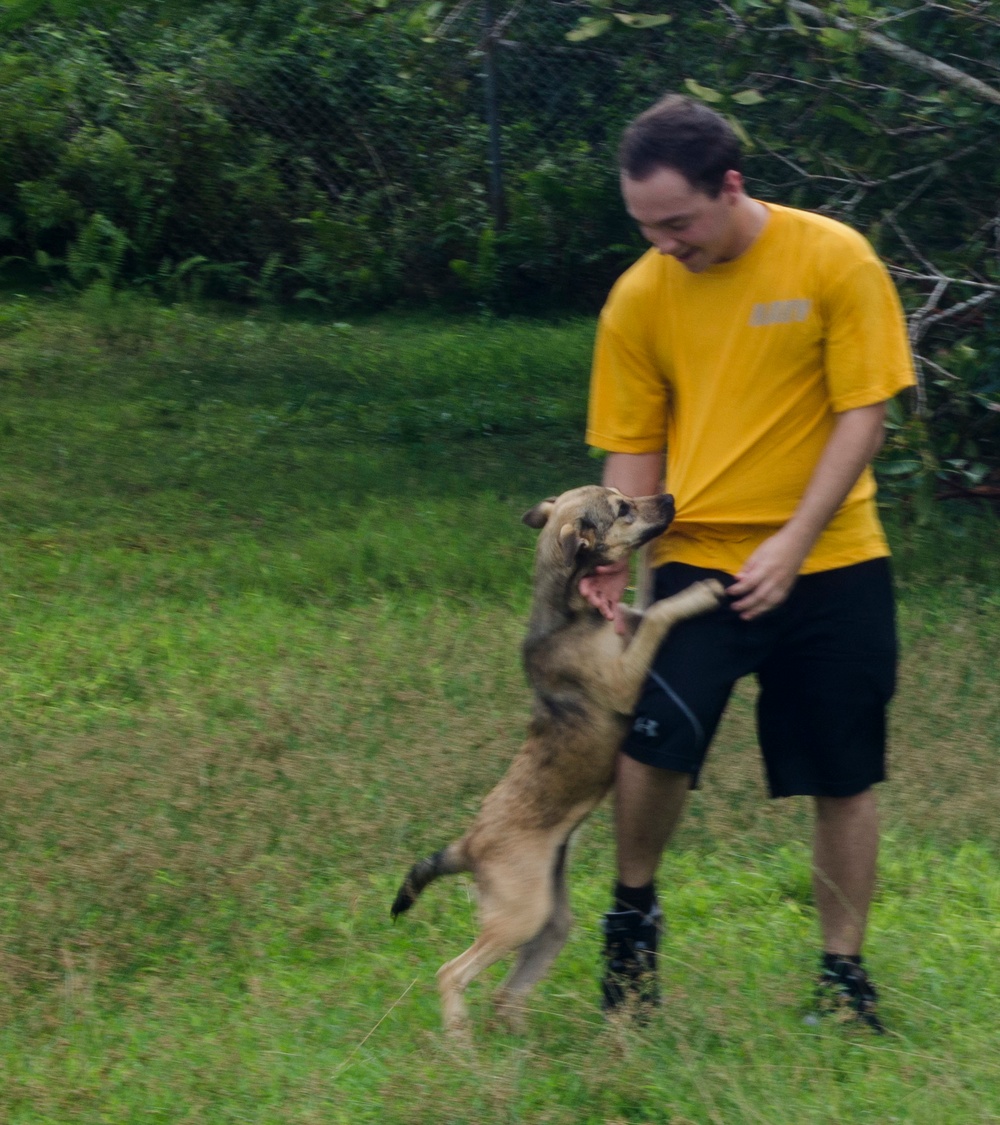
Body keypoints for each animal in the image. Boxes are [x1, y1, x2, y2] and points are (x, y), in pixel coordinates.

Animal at [386, 483, 719, 1035]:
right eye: (623, 509)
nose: (670, 496)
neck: (567, 610)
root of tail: (468, 845)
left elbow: (643, 603)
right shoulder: (628, 682)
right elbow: (658, 614)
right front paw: (699, 594)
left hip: (550, 921)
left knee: (505, 996)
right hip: (521, 914)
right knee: (451, 974)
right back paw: (460, 1045)